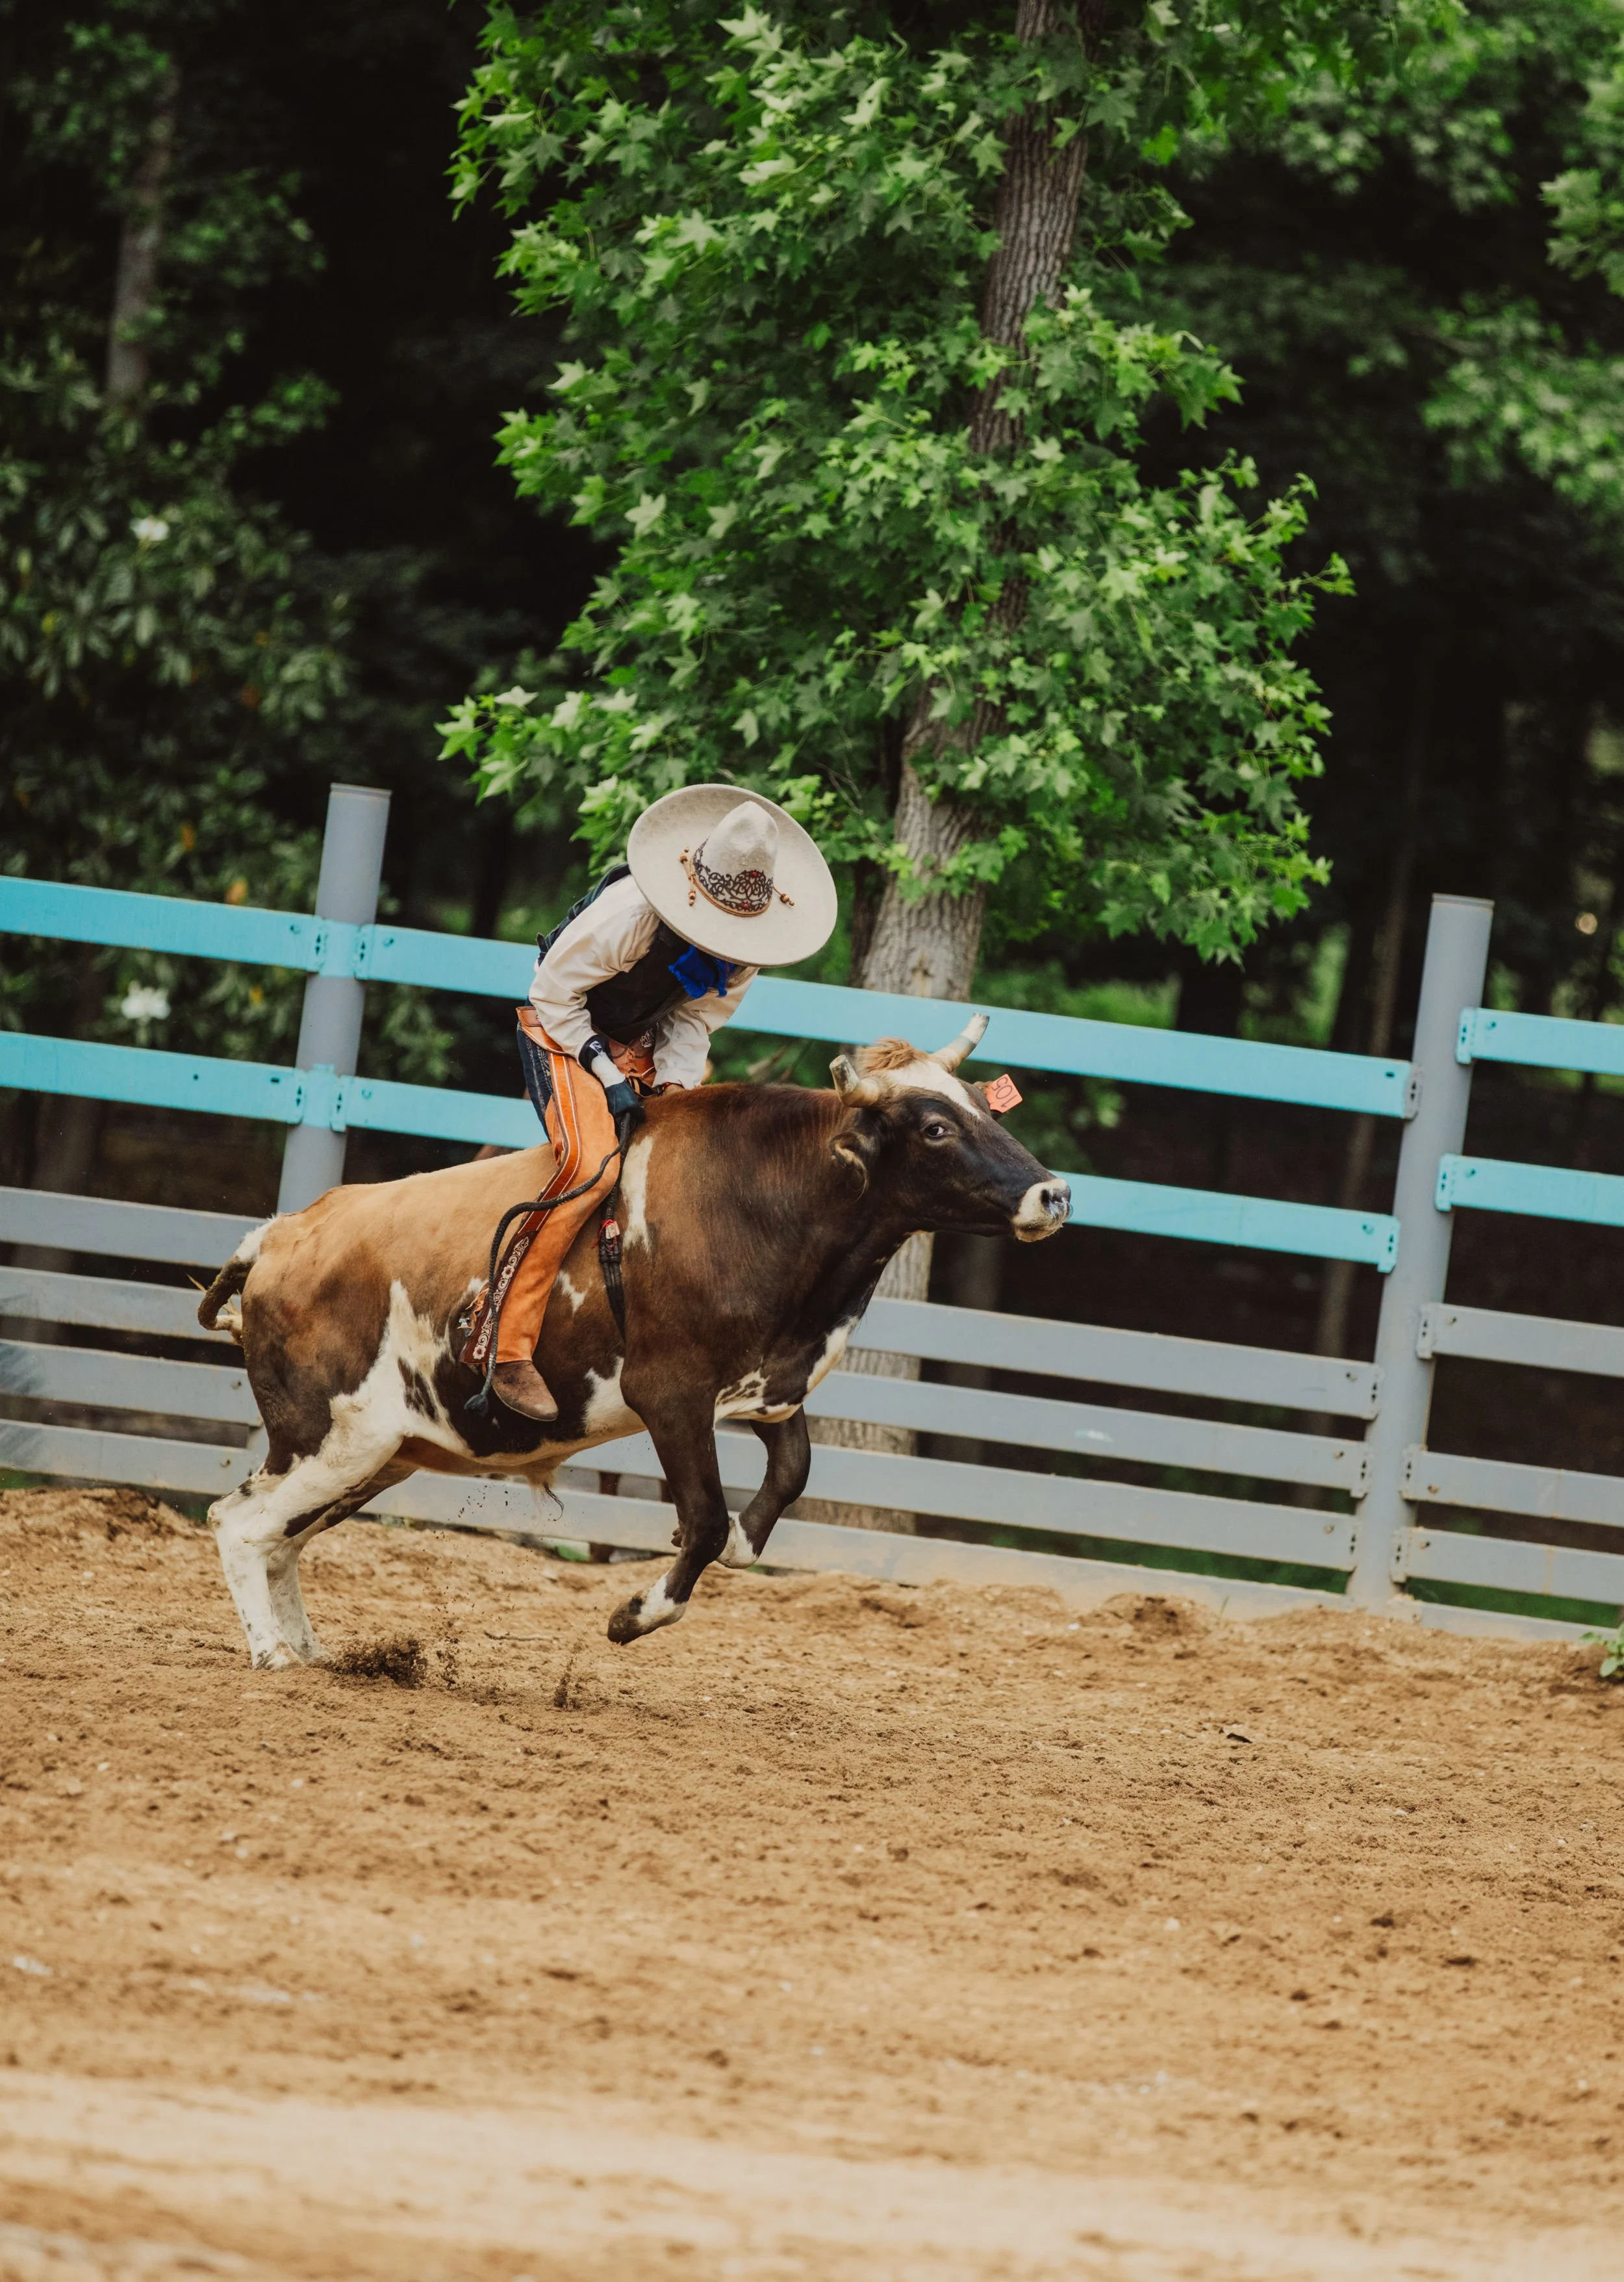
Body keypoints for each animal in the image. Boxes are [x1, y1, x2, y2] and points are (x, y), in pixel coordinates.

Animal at [197, 1016, 1070, 1668]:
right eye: (935, 1126)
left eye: (988, 1108)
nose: (1053, 1193)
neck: (767, 1198)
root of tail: (283, 1234)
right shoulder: (671, 1396)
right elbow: (707, 1517)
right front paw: (634, 1613)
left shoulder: (769, 1385)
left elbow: (787, 1475)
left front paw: (746, 1541)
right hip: (334, 1438)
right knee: (240, 1522)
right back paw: (274, 1654)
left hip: (380, 1455)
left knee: (277, 1535)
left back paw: (310, 1649)